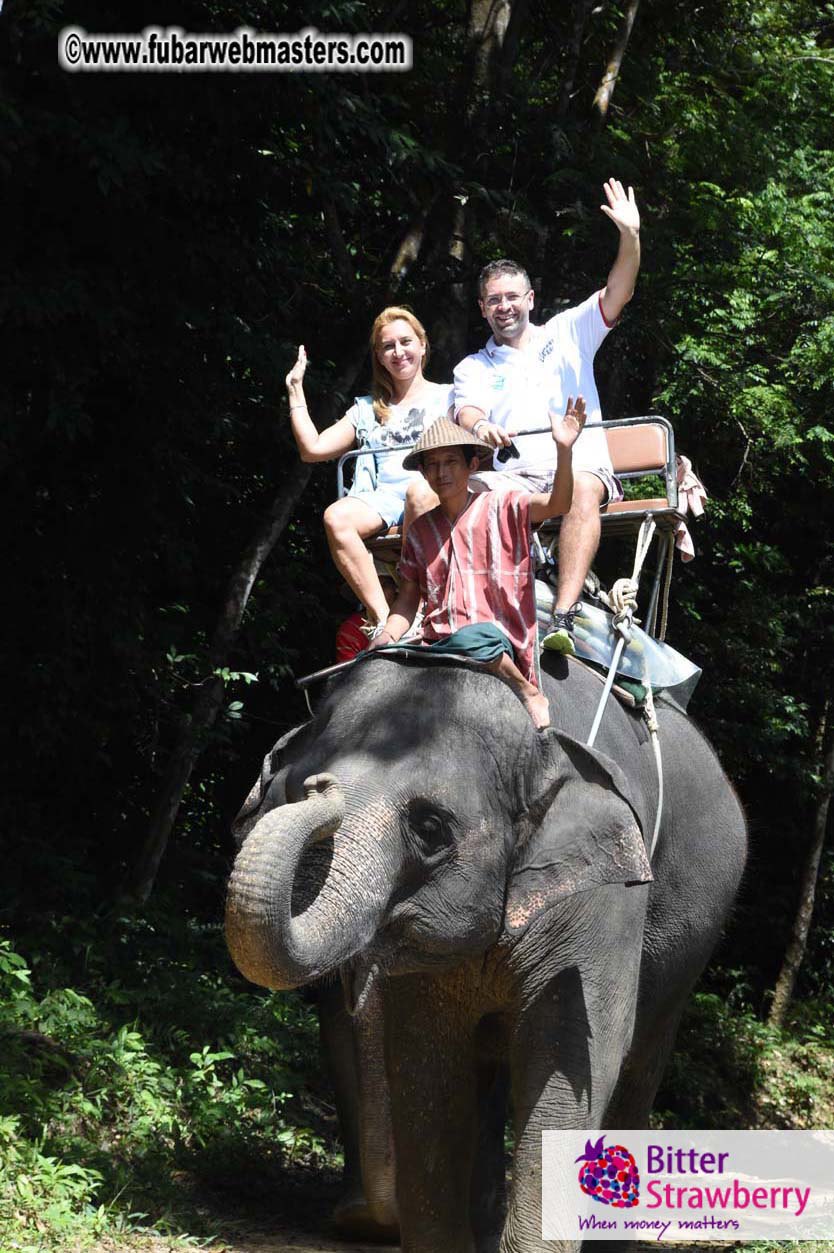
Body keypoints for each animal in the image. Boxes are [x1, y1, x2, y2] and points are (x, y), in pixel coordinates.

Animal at [225, 649, 747, 1253]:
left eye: (430, 828)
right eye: (291, 790)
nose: (320, 788)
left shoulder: (603, 898)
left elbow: (572, 1051)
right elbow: (428, 1060)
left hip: (691, 941)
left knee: (640, 1065)